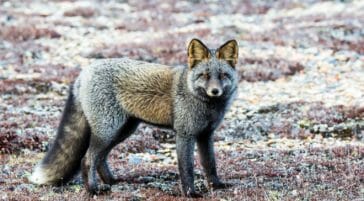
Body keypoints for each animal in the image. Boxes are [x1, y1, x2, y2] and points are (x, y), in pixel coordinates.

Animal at [29, 38, 239, 197]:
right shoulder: (185, 135)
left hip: (122, 131)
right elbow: (186, 169)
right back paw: (94, 190)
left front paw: (216, 186)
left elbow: (210, 164)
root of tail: (84, 72)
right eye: (204, 75)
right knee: (87, 159)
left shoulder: (206, 135)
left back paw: (113, 181)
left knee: (100, 159)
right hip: (108, 130)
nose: (215, 91)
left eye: (223, 75)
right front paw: (191, 194)